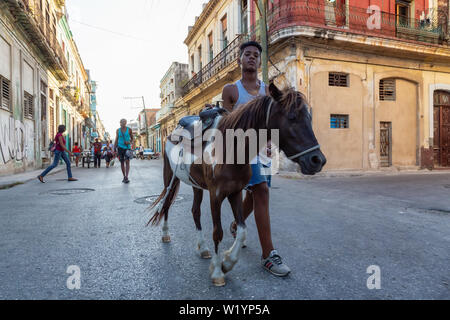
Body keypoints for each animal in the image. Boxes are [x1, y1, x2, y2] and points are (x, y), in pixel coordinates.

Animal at [148, 82, 326, 284]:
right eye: (292, 117)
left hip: (196, 185)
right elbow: (217, 232)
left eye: (309, 117)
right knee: (166, 205)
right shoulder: (216, 195)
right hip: (169, 178)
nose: (317, 160)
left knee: (195, 212)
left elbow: (242, 230)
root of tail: (173, 133)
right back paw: (166, 235)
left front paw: (227, 262)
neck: (230, 149)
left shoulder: (235, 192)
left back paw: (203, 248)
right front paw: (218, 272)